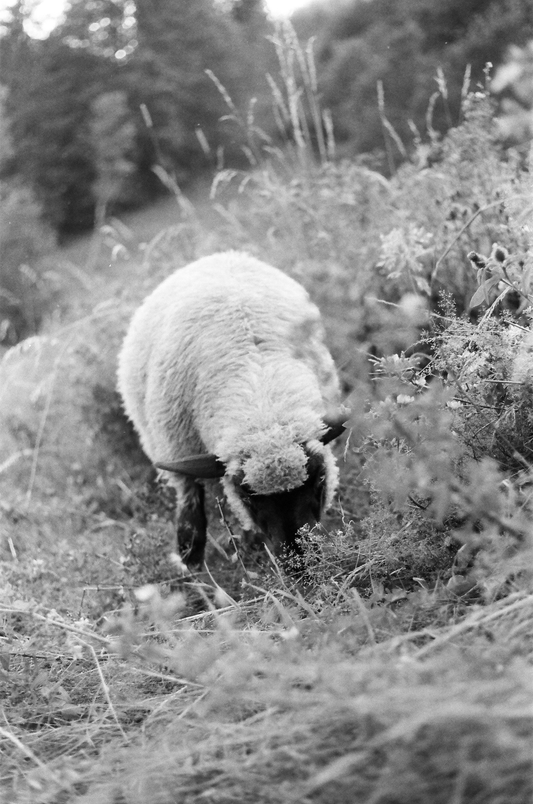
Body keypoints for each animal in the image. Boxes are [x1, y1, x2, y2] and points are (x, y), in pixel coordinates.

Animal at [117, 251, 348, 567]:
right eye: (247, 495)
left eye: (318, 479)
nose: (300, 564)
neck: (261, 401)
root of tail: (219, 256)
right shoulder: (177, 455)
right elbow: (190, 519)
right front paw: (190, 569)